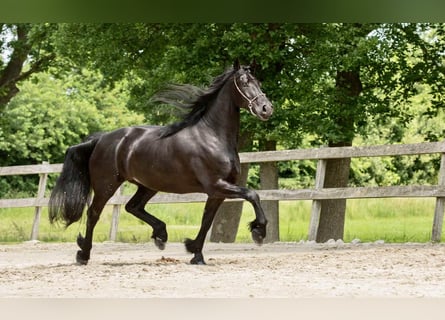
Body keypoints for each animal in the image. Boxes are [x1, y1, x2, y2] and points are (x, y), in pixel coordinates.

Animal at [47, 62, 270, 264]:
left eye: (259, 82)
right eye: (244, 82)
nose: (266, 108)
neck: (213, 137)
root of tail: (101, 139)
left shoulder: (217, 192)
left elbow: (207, 220)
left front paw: (195, 253)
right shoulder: (216, 185)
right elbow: (252, 194)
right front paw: (258, 231)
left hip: (148, 185)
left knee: (133, 207)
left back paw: (161, 235)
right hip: (106, 185)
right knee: (94, 214)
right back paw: (83, 254)